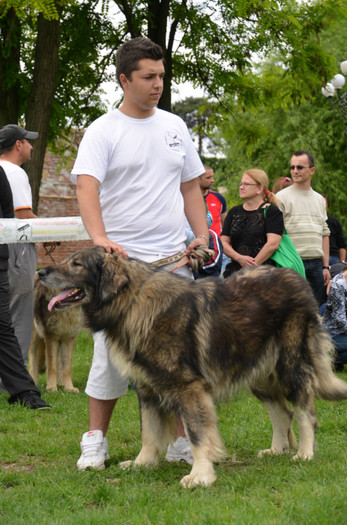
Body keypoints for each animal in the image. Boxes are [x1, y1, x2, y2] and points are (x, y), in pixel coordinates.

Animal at [38, 247, 347, 488]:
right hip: (258, 372)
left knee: (305, 411)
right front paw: (142, 463)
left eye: (76, 264)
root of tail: (296, 278)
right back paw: (277, 449)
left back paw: (304, 453)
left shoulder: (189, 388)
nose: (41, 272)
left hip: (291, 364)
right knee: (282, 411)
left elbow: (197, 434)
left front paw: (200, 475)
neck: (131, 302)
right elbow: (149, 431)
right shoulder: (147, 389)